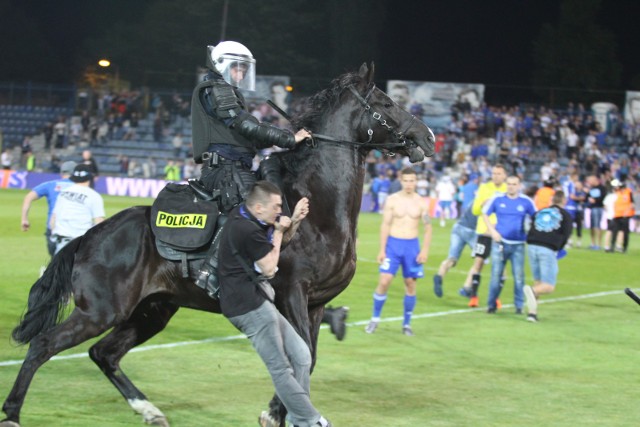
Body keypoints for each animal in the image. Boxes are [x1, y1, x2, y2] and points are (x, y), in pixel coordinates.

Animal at [1, 63, 436, 427]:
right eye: (385, 103)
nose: (428, 137)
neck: (316, 209)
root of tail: (91, 236)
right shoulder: (291, 293)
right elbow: (301, 357)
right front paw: (275, 412)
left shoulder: (315, 304)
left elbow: (308, 358)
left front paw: (280, 411)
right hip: (102, 310)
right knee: (43, 345)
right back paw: (13, 413)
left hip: (152, 311)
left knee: (103, 354)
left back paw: (150, 410)